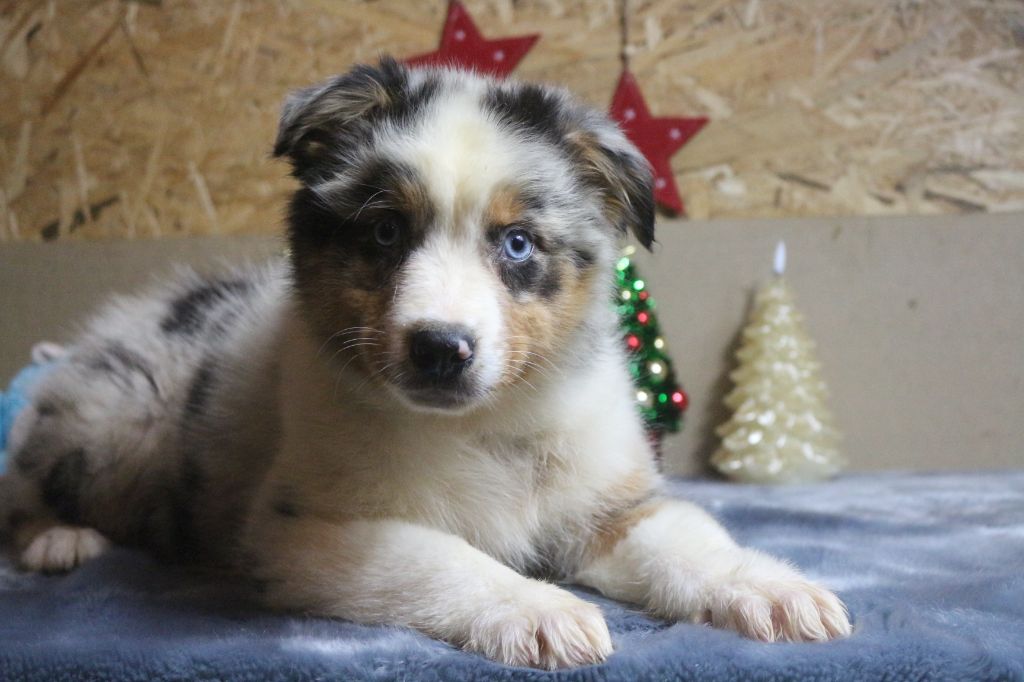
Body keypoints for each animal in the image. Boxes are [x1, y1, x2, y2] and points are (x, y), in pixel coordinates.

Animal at [0, 57, 847, 663]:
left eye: (517, 243)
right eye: (384, 232)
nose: (441, 349)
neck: (485, 424)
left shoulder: (615, 502)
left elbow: (691, 539)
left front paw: (772, 589)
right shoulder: (303, 528)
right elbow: (440, 555)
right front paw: (538, 610)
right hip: (114, 419)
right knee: (25, 481)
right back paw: (59, 539)